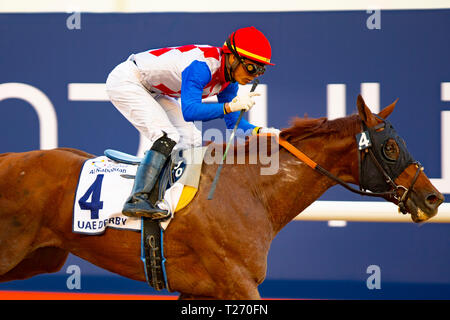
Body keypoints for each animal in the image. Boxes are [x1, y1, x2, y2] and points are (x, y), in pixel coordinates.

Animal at [0, 95, 442, 300]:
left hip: (39, 258)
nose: (433, 198)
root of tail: (9, 159)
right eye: (390, 148)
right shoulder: (236, 281)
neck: (252, 190)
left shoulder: (202, 288)